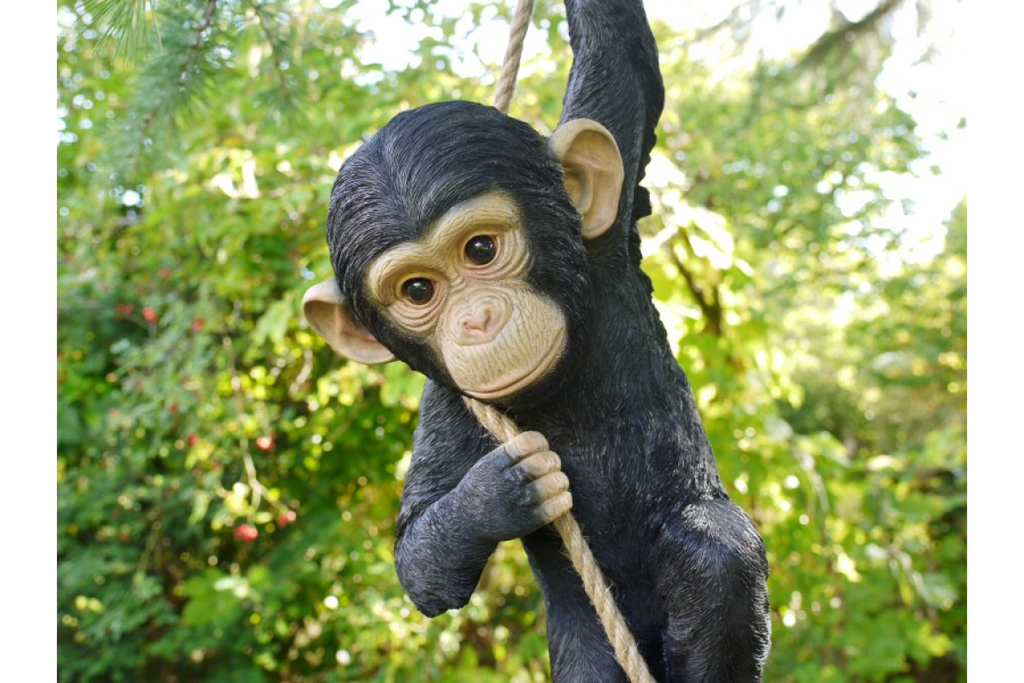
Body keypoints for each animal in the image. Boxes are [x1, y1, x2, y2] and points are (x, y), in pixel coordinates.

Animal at [302, 1, 771, 681]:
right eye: (417, 290)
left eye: (480, 249)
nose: (477, 320)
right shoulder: (448, 409)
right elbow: (416, 561)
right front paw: (498, 493)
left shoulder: (608, 235)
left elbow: (621, 62)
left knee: (716, 553)